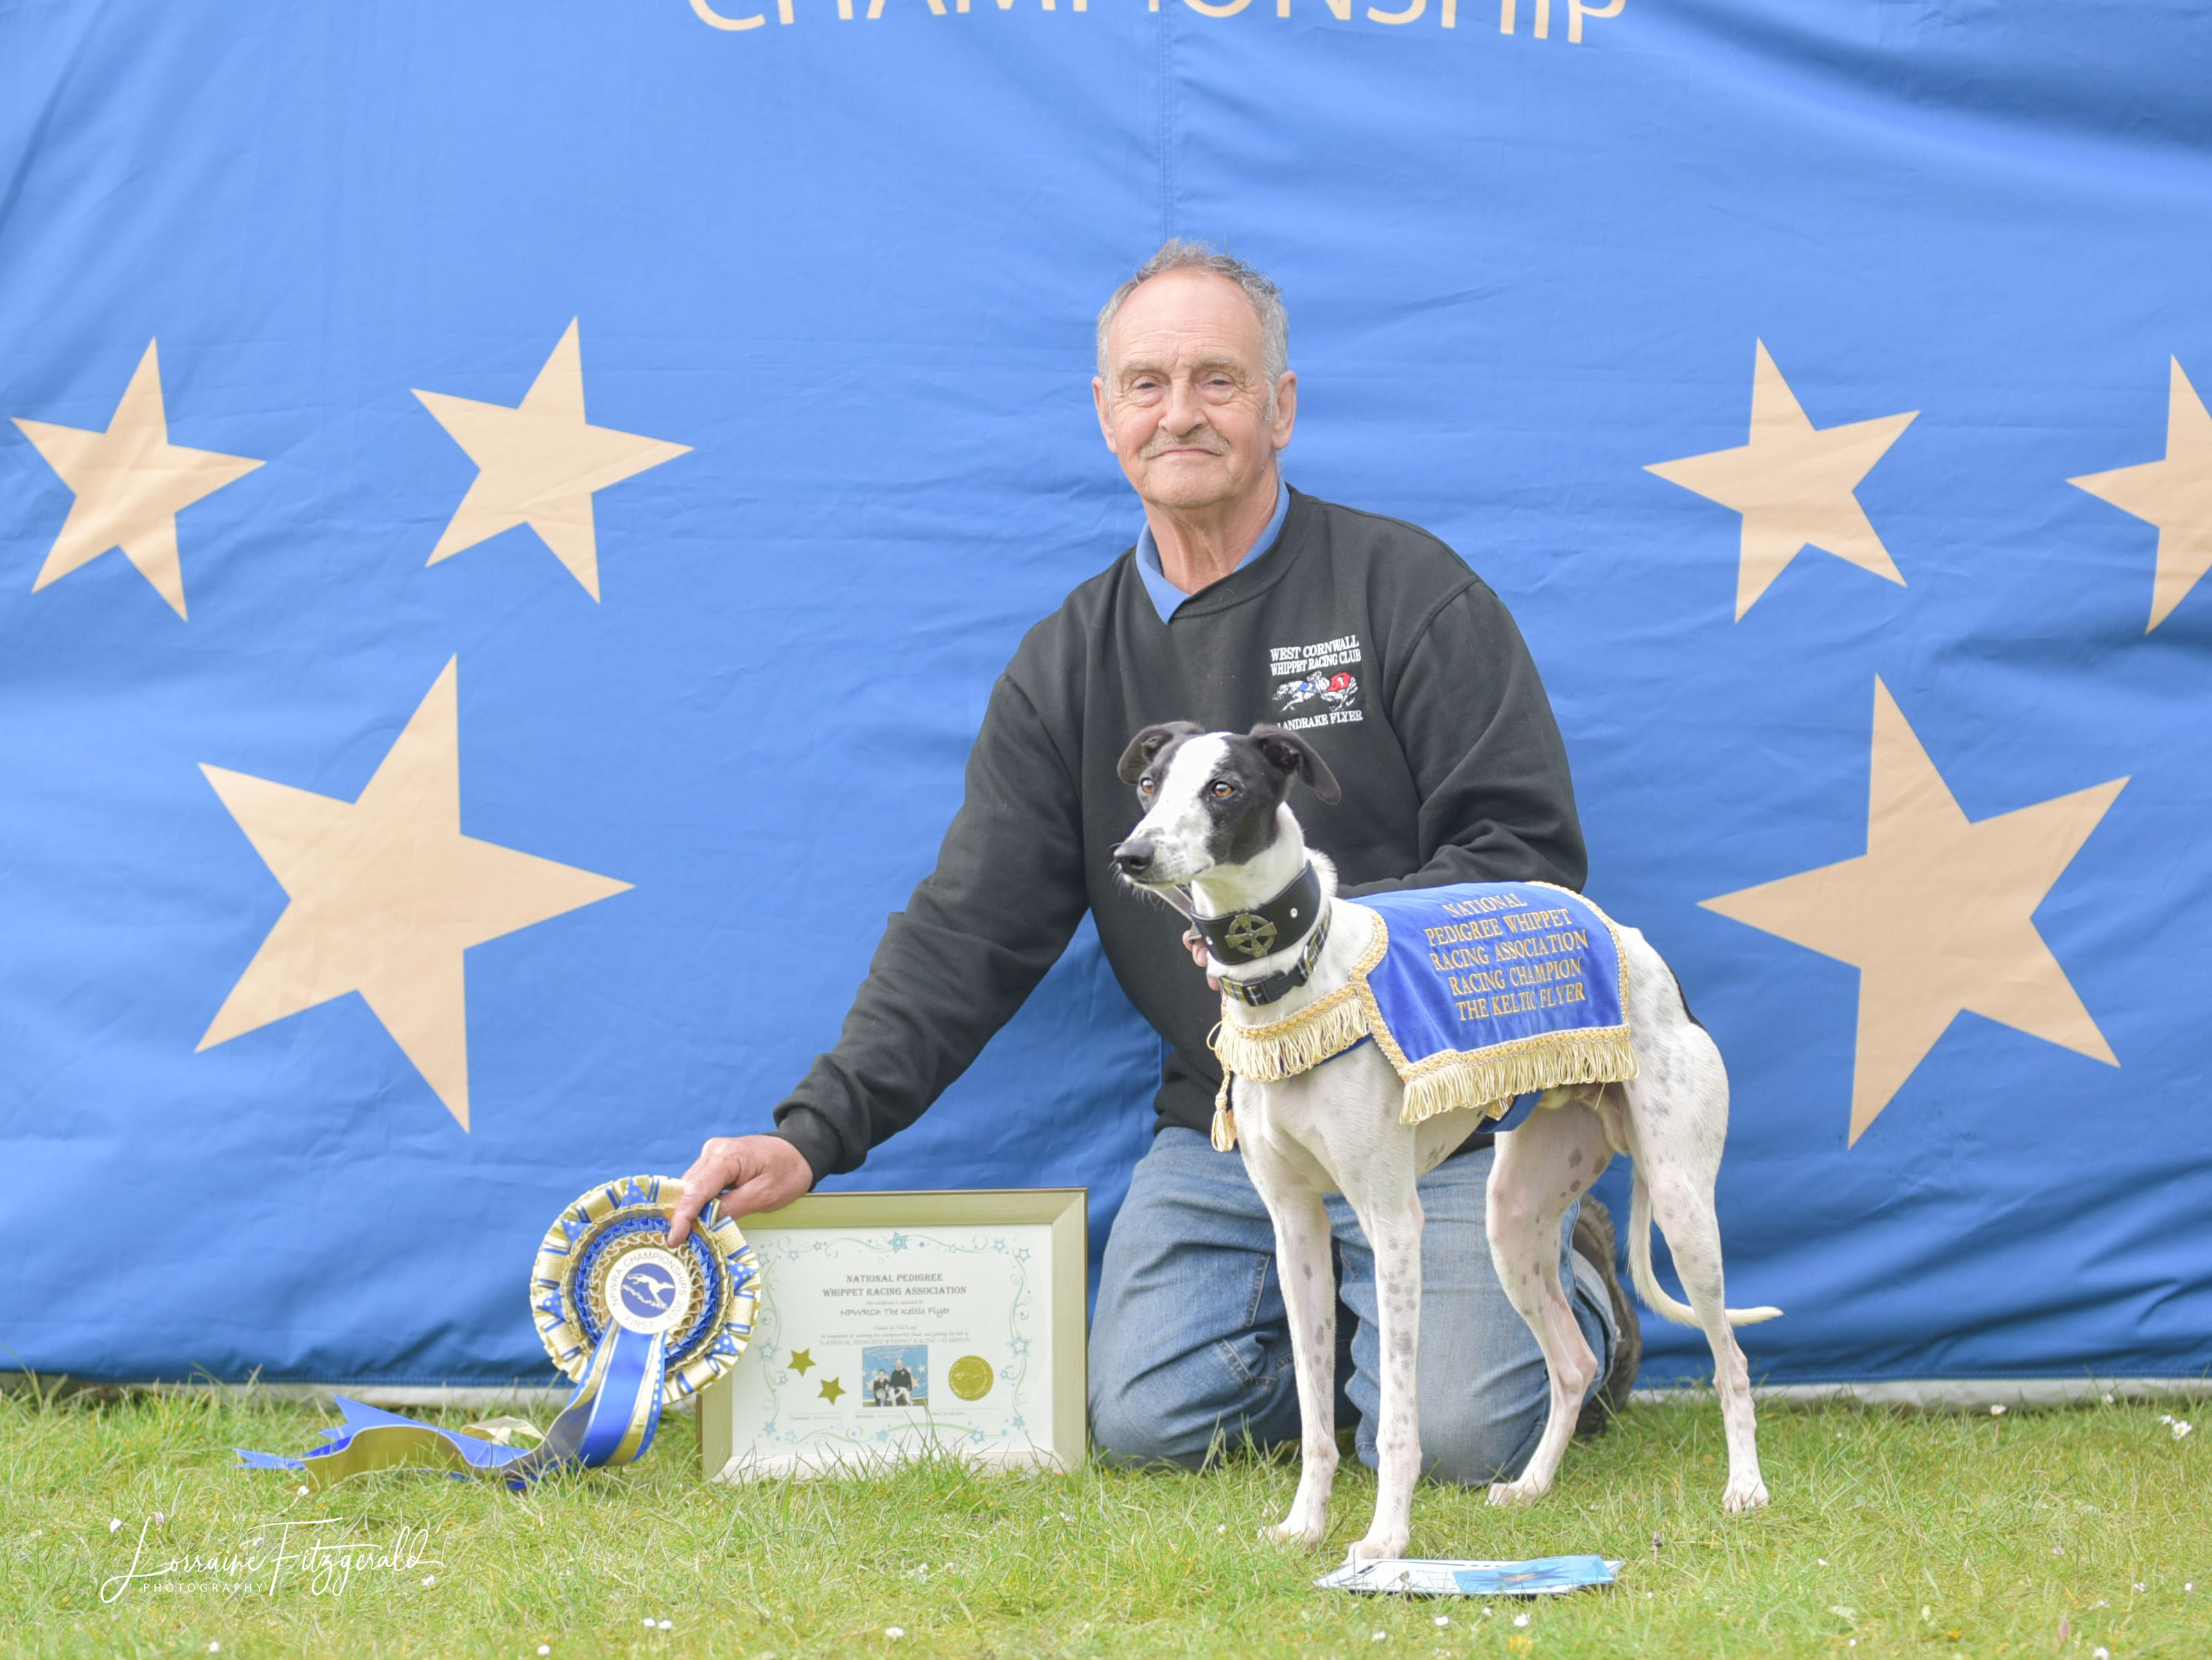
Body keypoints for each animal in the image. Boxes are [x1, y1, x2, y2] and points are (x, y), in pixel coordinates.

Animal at [1106, 721, 1778, 1564]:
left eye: (1223, 787)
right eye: (1147, 784)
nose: (1130, 856)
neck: (1295, 979)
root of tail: (1639, 947)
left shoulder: (1395, 1225)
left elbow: (1397, 1416)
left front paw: (1385, 1540)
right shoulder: (1295, 1228)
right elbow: (1317, 1413)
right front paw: (1305, 1525)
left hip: (1684, 1202)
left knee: (1731, 1361)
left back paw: (1745, 1486)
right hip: (1513, 1221)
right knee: (1573, 1361)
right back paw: (1531, 1485)